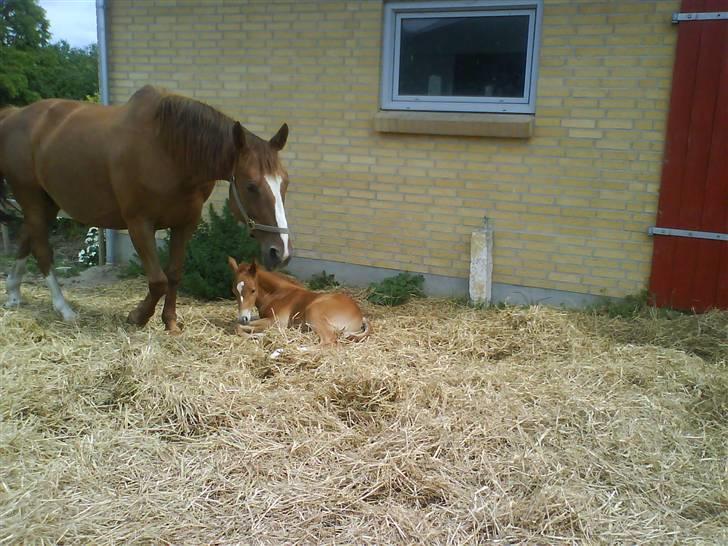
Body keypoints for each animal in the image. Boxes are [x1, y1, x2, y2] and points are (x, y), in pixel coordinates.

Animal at [228, 256, 370, 344]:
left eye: (253, 290)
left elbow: (237, 326)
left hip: (314, 312)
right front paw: (257, 334)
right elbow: (236, 324)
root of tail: (360, 314)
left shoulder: (276, 321)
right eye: (234, 291)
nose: (243, 317)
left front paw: (259, 335)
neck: (277, 294)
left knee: (329, 341)